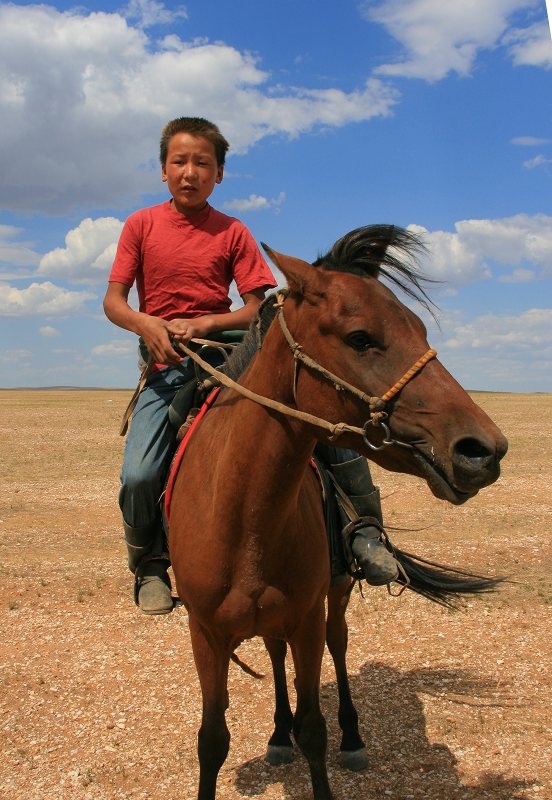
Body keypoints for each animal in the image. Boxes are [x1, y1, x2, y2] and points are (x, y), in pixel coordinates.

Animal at [167, 225, 508, 800]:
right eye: (360, 338)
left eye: (419, 328)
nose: (482, 450)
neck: (243, 520)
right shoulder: (205, 634)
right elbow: (212, 740)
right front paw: (274, 733)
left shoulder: (307, 620)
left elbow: (314, 730)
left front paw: (325, 739)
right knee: (275, 654)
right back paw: (276, 734)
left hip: (338, 591)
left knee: (339, 645)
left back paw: (352, 737)